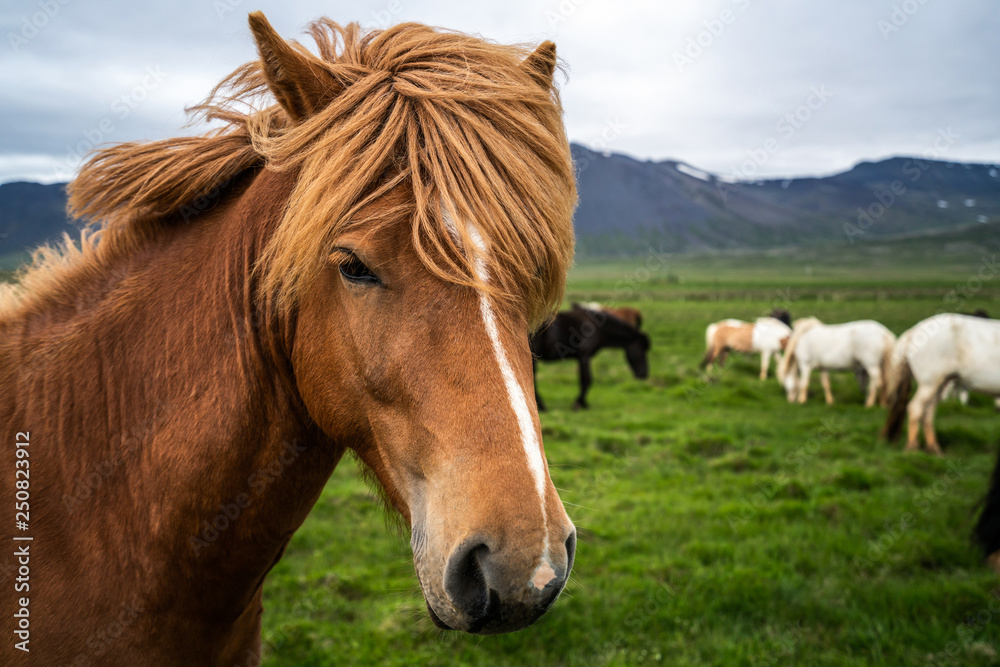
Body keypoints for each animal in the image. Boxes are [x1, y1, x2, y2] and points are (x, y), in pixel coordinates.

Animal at [884, 316, 1000, 456]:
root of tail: (913, 332)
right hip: (929, 384)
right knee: (915, 408)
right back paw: (912, 449)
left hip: (939, 385)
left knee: (928, 413)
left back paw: (934, 449)